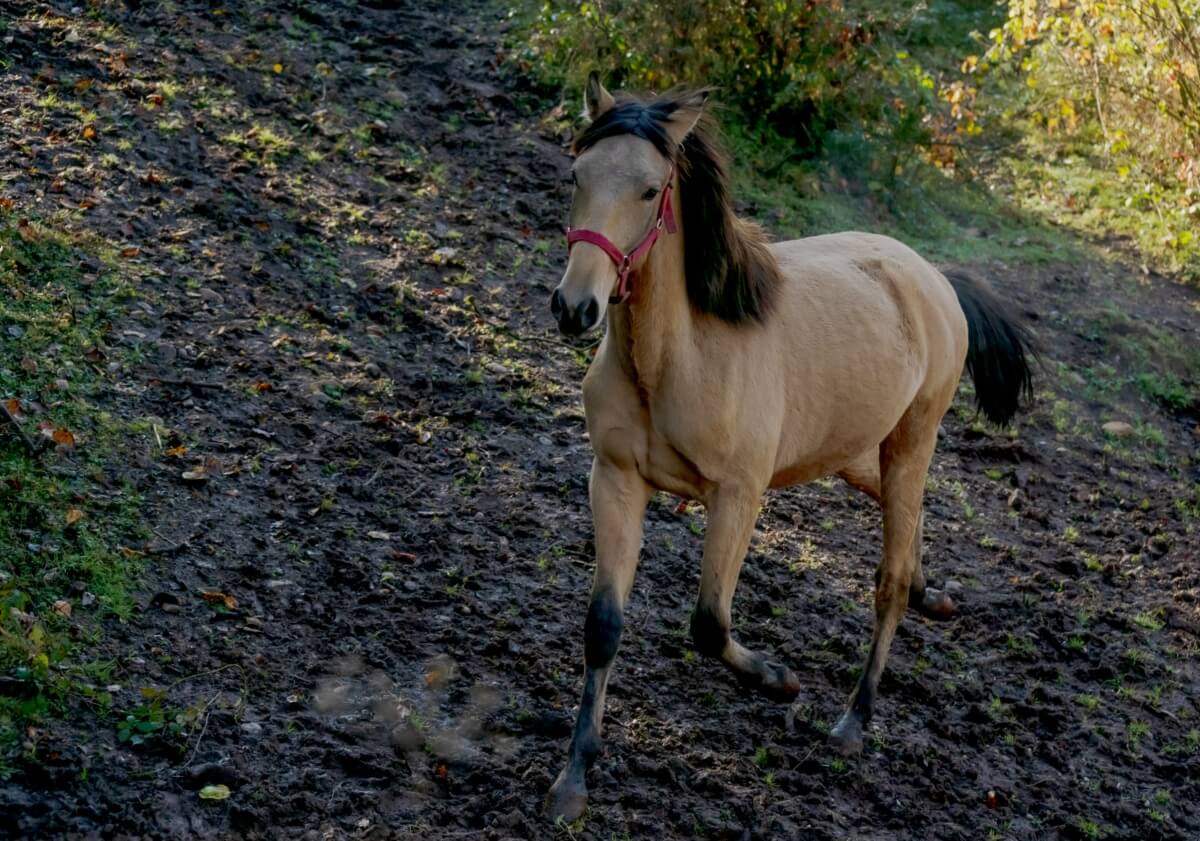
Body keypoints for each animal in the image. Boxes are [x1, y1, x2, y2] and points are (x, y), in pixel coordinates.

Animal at [544, 73, 1035, 821]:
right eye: (577, 174)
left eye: (651, 190)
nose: (577, 307)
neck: (678, 359)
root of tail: (935, 281)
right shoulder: (617, 478)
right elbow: (603, 624)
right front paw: (574, 777)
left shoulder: (738, 497)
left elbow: (709, 624)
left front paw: (780, 680)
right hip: (858, 453)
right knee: (908, 530)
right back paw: (934, 597)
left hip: (911, 441)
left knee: (888, 579)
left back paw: (855, 719)